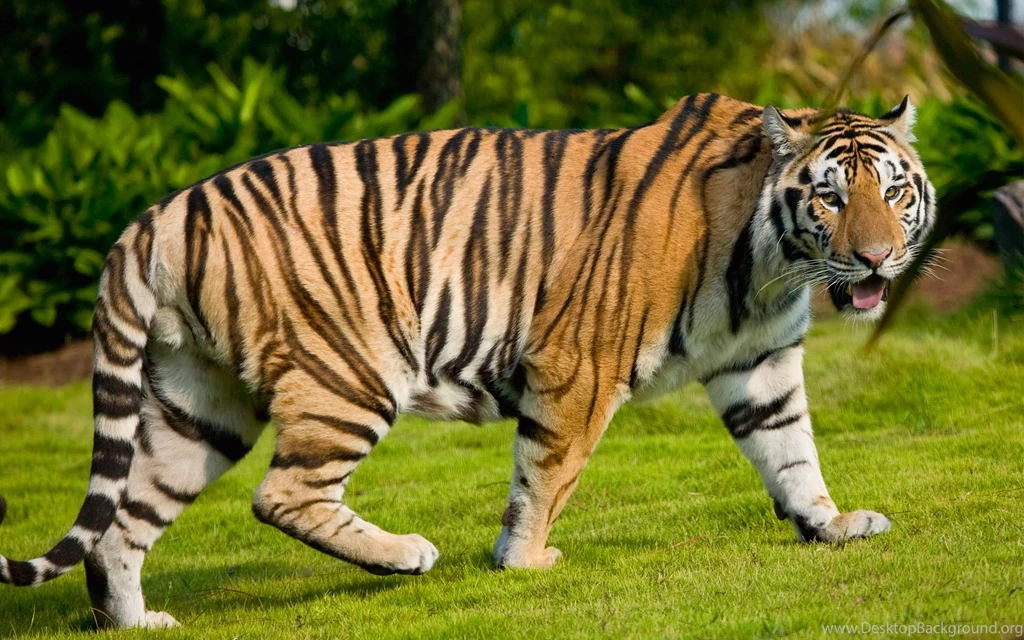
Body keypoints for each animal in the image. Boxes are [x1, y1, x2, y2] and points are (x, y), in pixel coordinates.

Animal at [0, 93, 933, 628]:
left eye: (892, 191)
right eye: (829, 197)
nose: (878, 260)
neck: (771, 265)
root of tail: (155, 214)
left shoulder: (761, 363)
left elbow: (792, 451)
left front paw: (830, 524)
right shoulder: (579, 363)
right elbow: (547, 473)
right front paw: (523, 561)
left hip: (202, 403)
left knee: (123, 522)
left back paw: (135, 620)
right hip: (350, 374)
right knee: (281, 494)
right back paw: (405, 554)